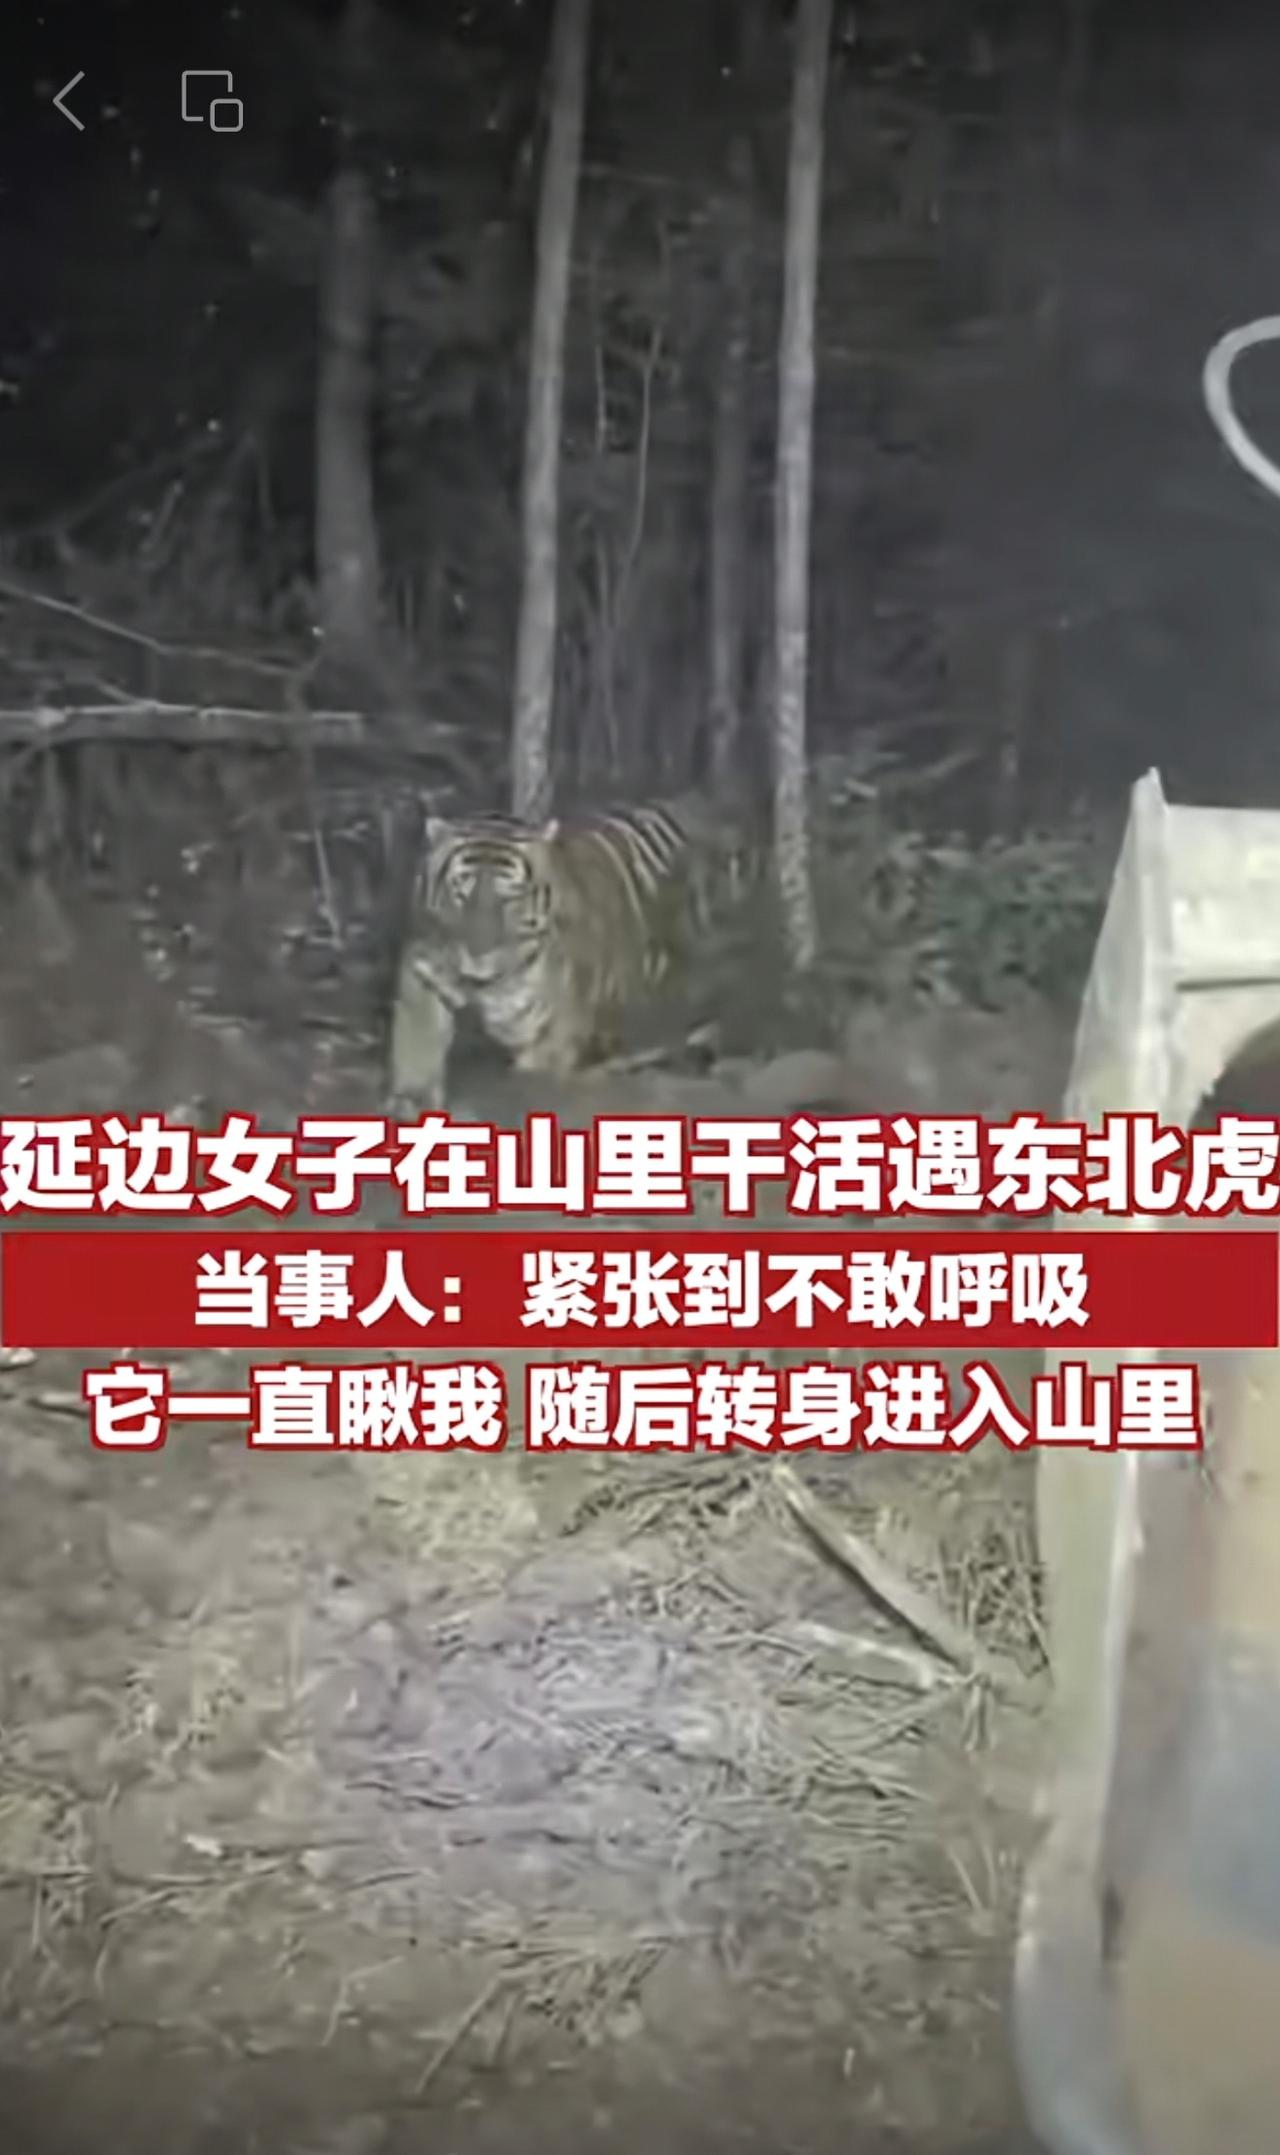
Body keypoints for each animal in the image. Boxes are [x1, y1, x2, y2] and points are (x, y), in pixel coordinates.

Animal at [386, 795, 727, 1115]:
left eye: (512, 896)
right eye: (460, 889)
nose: (478, 951)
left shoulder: (548, 1040)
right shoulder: (421, 969)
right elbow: (417, 1045)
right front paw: (410, 1102)